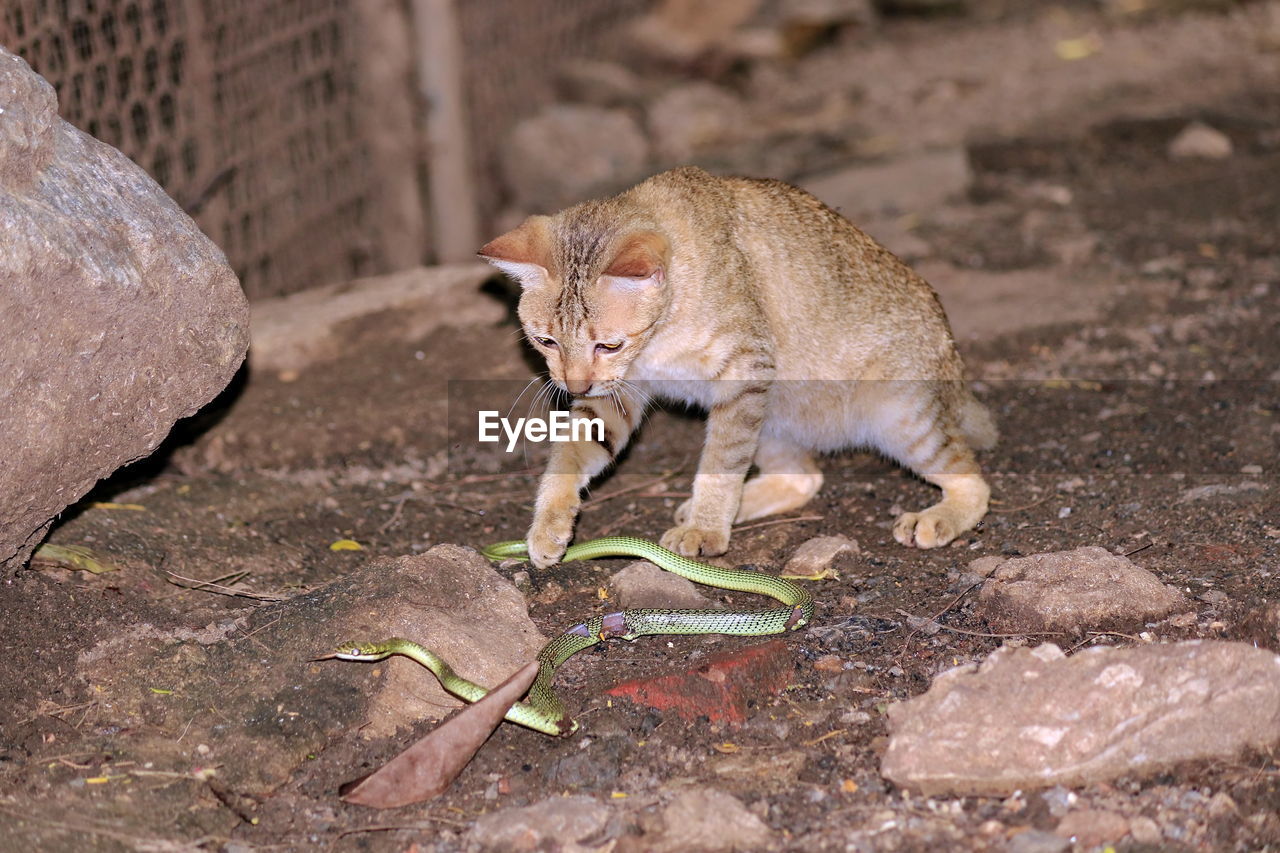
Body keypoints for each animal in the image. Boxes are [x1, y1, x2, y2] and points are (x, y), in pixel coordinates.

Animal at [481, 163, 998, 568]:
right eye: (545, 340)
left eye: (608, 345)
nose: (573, 385)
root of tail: (950, 354)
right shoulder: (619, 394)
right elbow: (571, 453)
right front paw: (548, 523)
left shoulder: (745, 372)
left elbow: (721, 459)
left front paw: (707, 527)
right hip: (774, 417)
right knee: (804, 477)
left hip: (897, 416)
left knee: (973, 476)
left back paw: (941, 516)